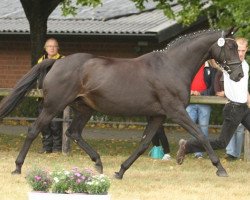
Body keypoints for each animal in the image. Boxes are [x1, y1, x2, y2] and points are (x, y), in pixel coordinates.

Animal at [0, 27, 243, 178]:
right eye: (229, 47)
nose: (239, 74)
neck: (172, 66)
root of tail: (56, 62)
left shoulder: (158, 115)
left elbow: (144, 144)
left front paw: (120, 171)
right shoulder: (176, 112)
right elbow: (201, 135)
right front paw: (220, 168)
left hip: (84, 109)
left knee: (73, 132)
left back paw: (98, 163)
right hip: (53, 106)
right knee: (34, 130)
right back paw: (17, 167)